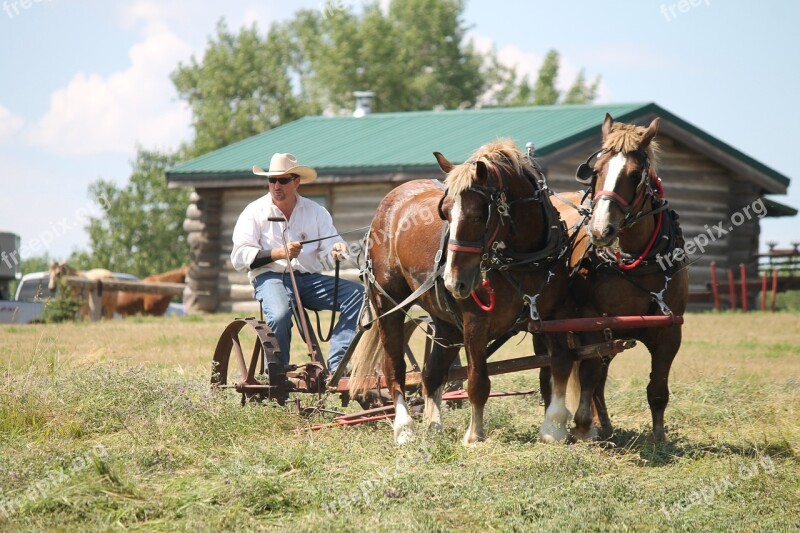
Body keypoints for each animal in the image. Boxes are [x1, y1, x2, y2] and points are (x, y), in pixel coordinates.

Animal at [348, 139, 576, 442]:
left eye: (478, 216)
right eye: (444, 212)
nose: (452, 281)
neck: (524, 259)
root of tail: (389, 202)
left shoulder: (555, 315)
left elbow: (561, 364)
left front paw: (554, 427)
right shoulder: (475, 323)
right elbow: (478, 380)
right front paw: (474, 435)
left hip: (445, 321)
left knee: (432, 374)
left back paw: (433, 426)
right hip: (388, 304)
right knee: (394, 368)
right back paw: (405, 428)